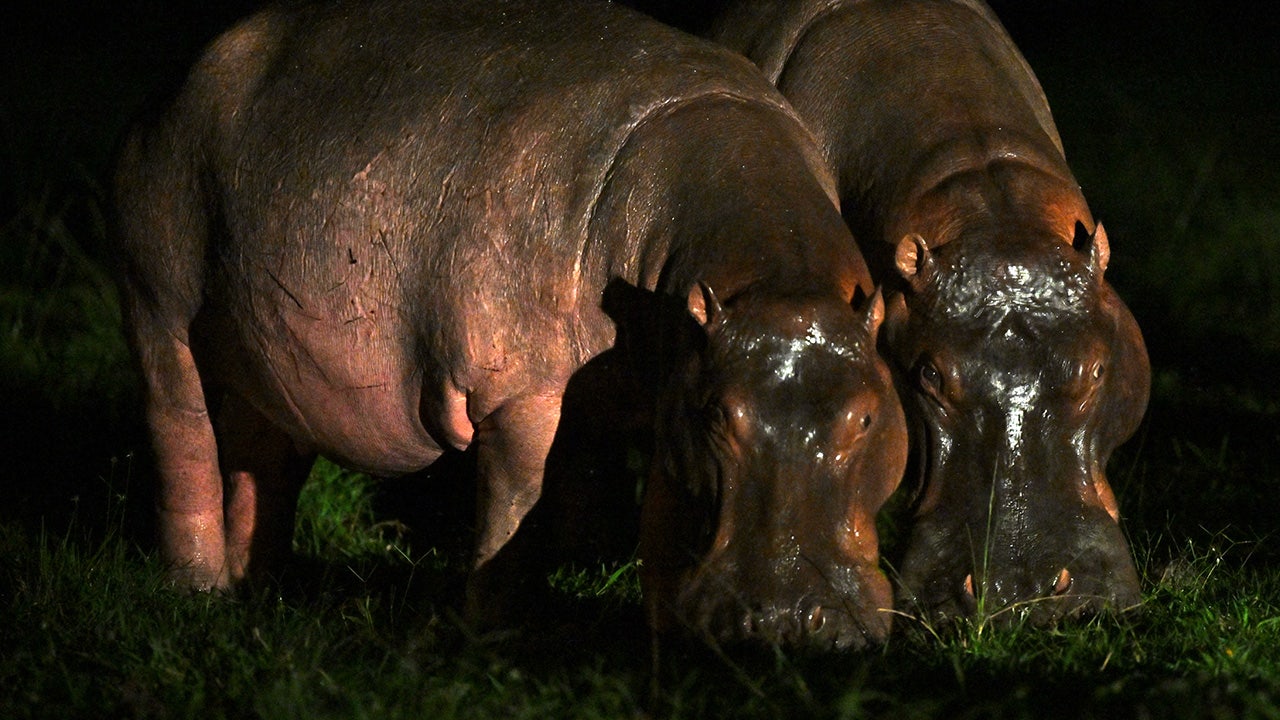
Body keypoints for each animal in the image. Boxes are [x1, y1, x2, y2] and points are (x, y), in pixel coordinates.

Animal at [111, 0, 907, 649]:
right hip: (157, 302)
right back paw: (198, 592)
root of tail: (186, 75)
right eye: (719, 414)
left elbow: (661, 518)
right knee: (181, 439)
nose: (785, 621)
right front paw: (498, 634)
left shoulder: (669, 388)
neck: (774, 282)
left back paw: (261, 589)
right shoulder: (523, 397)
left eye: (868, 417)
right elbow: (516, 512)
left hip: (269, 354)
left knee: (262, 460)